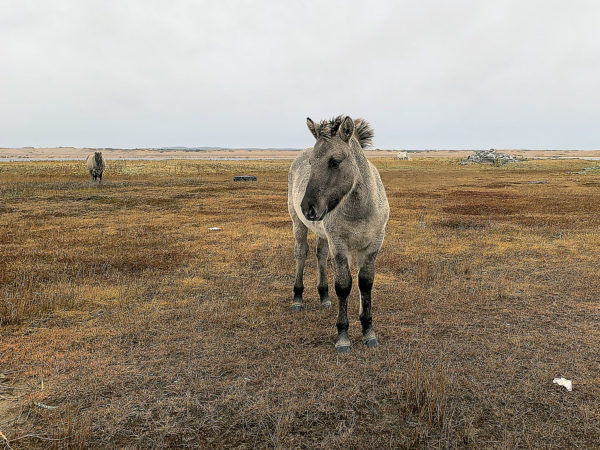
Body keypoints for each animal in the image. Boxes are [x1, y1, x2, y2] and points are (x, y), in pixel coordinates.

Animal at [288, 115, 392, 352]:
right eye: (311, 163)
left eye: (334, 161)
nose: (308, 208)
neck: (360, 208)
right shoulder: (340, 245)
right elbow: (344, 286)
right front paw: (343, 336)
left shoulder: (372, 245)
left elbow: (365, 283)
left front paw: (368, 331)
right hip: (298, 225)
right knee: (301, 253)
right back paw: (297, 298)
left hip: (323, 234)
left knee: (320, 254)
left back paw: (324, 297)